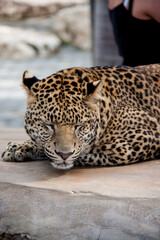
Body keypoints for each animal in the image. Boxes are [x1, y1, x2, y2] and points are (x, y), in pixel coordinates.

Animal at [1, 63, 160, 169]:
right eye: (48, 125)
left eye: (79, 126)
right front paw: (18, 147)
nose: (64, 155)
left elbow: (85, 153)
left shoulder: (138, 141)